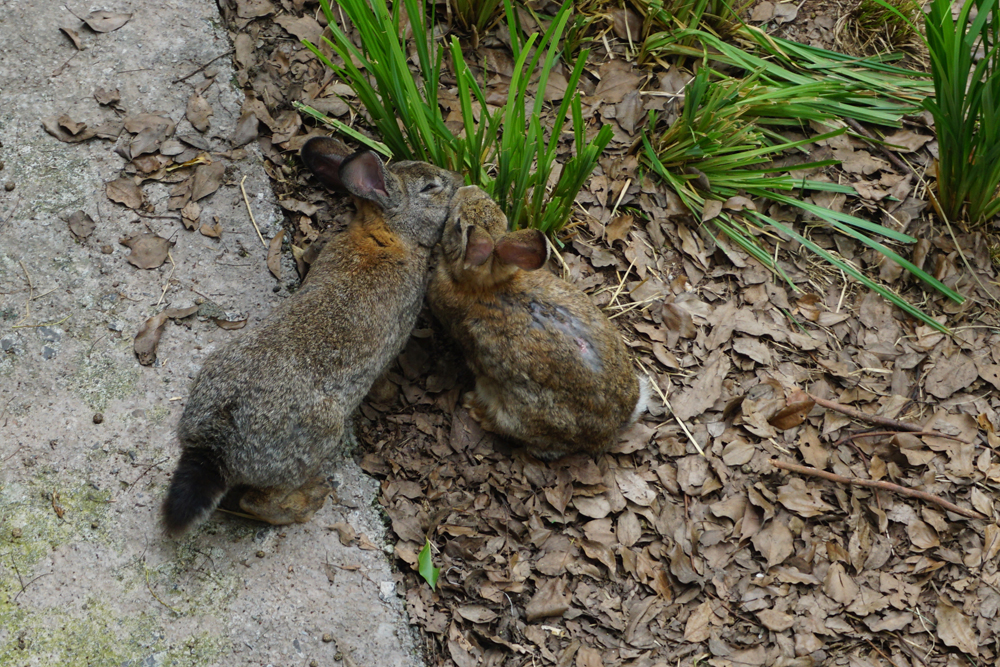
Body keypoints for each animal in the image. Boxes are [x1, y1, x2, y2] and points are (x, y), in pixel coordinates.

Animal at [162, 136, 463, 537]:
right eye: (430, 187)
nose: (459, 180)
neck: (388, 236)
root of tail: (215, 446)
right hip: (319, 438)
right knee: (256, 502)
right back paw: (309, 501)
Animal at [428, 185, 649, 461]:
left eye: (458, 225)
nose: (466, 189)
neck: (487, 287)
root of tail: (614, 428)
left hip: (522, 415)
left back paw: (476, 409)